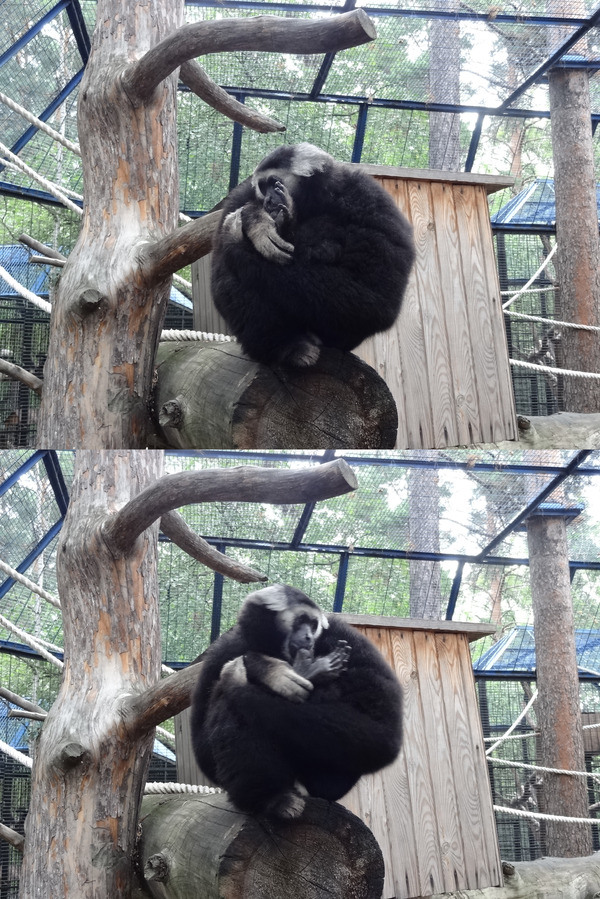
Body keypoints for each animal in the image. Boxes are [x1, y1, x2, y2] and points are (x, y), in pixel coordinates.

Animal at [190, 584, 403, 819]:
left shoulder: (345, 635)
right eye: (301, 620)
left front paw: (259, 666)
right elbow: (203, 751)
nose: (309, 636)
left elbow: (381, 733)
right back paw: (270, 798)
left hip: (331, 780)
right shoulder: (223, 650)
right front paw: (269, 669)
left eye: (314, 624)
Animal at [210, 143, 415, 367]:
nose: (269, 201)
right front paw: (256, 219)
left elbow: (376, 297)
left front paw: (247, 230)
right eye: (263, 187)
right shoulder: (239, 196)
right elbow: (220, 269)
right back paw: (285, 346)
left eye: (274, 182)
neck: (314, 201)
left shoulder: (370, 199)